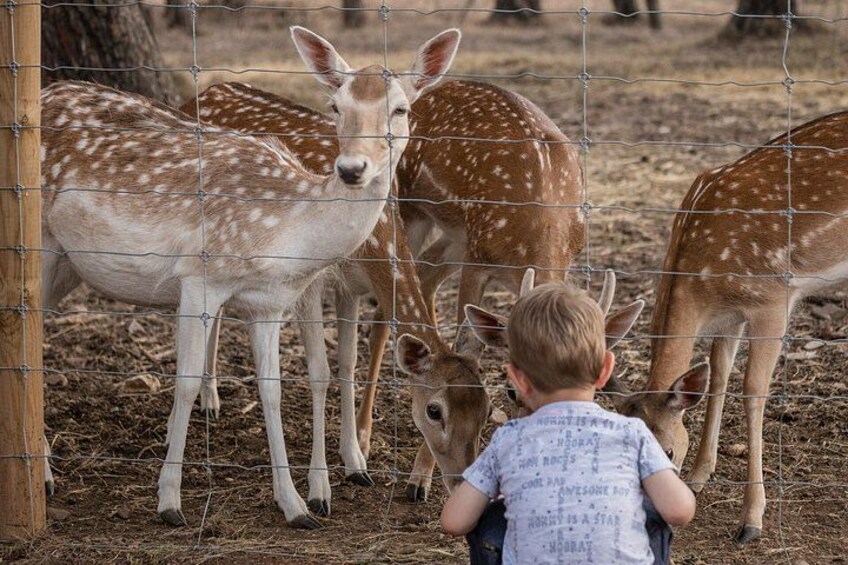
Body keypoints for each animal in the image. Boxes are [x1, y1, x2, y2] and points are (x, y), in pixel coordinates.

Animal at [39, 25, 461, 529]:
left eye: (400, 108)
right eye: (335, 106)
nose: (351, 169)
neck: (286, 231)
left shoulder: (269, 304)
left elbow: (273, 391)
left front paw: (296, 506)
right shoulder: (199, 278)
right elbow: (184, 381)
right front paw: (169, 502)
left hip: (67, 263)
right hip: (37, 243)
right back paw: (44, 476)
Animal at [182, 77, 585, 501]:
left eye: (487, 409)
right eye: (434, 410)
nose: (460, 480)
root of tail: (207, 91)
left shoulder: (351, 286)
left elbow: (347, 363)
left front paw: (355, 463)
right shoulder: (314, 280)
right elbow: (321, 371)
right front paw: (321, 487)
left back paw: (211, 399)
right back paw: (208, 402)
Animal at [602, 111, 848, 543]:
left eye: (668, 451)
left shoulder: (772, 301)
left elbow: (752, 391)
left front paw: (752, 519)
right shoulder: (729, 315)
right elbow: (718, 376)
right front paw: (700, 476)